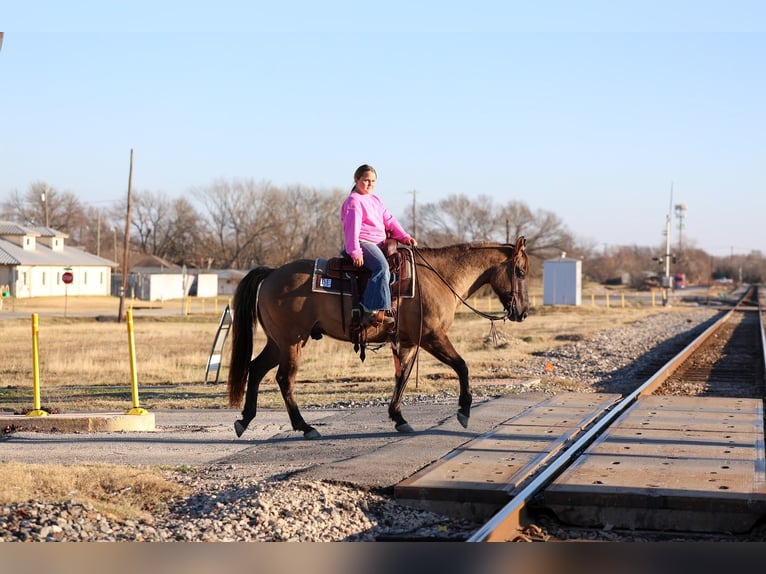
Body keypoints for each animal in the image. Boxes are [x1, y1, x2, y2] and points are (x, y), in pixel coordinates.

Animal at [227, 236, 530, 439]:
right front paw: (464, 411)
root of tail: (272, 273)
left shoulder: (409, 342)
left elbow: (402, 377)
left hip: (278, 343)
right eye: (520, 271)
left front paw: (398, 417)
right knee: (283, 379)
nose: (523, 312)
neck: (439, 278)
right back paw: (305, 426)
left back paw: (245, 420)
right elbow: (462, 366)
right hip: (292, 342)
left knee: (255, 369)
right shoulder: (432, 337)